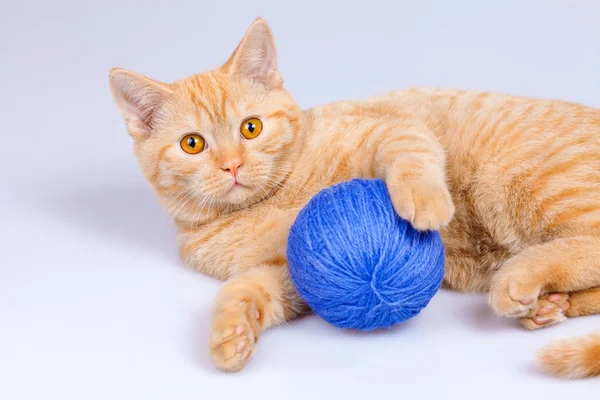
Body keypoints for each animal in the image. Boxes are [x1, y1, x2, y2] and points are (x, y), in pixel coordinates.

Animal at [108, 18, 600, 376]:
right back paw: (550, 304)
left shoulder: (392, 126)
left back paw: (519, 277)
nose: (232, 165)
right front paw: (232, 332)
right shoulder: (296, 272)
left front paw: (427, 202)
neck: (271, 199)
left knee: (589, 242)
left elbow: (409, 154)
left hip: (523, 178)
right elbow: (251, 290)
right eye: (193, 144)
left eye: (251, 127)